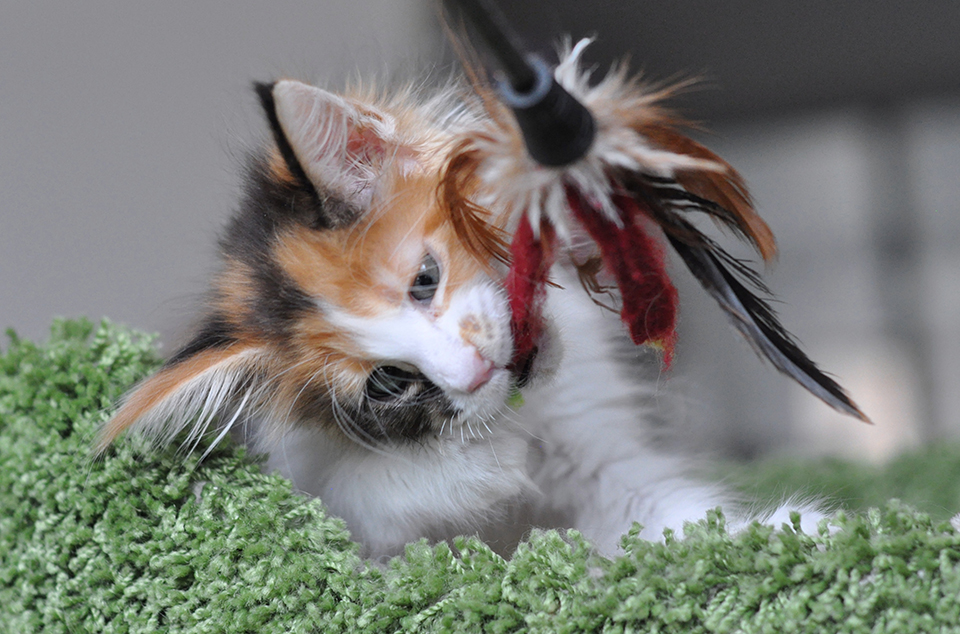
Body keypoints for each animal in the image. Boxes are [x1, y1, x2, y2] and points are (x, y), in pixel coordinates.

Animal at [97, 71, 816, 556]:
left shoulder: (609, 464)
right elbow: (384, 502)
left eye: (425, 280)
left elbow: (677, 518)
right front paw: (482, 467)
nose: (474, 370)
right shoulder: (339, 510)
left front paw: (805, 535)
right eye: (387, 382)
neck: (529, 415)